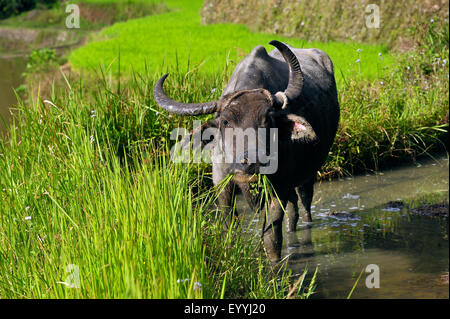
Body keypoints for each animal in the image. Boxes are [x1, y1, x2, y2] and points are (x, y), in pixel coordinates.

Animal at [153, 40, 340, 262]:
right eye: (226, 121)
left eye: (268, 120)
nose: (252, 162)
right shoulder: (222, 183)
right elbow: (229, 226)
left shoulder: (278, 187)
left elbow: (271, 235)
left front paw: (274, 262)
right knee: (293, 209)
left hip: (308, 174)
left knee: (304, 202)